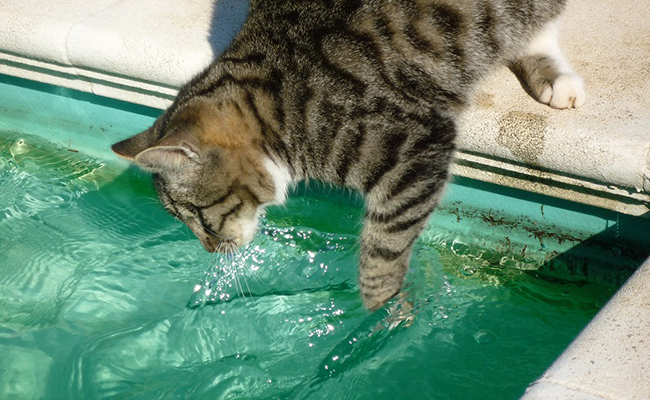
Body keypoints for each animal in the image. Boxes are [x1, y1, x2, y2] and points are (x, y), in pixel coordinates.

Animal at [111, 0, 584, 310]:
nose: (210, 251)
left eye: (199, 217)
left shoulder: (417, 145)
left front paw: (383, 312)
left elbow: (383, 250)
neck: (277, 102)